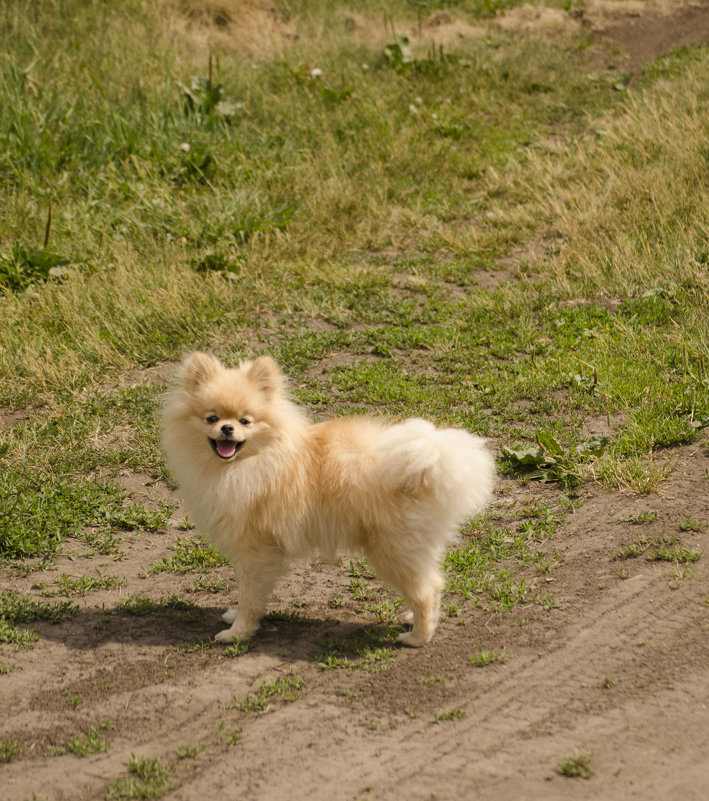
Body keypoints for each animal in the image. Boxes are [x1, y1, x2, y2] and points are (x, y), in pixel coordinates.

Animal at [161, 354, 496, 648]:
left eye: (245, 421)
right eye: (212, 418)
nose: (227, 428)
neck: (248, 463)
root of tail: (426, 465)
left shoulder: (253, 549)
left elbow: (249, 596)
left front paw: (238, 632)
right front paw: (235, 617)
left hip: (392, 549)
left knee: (425, 590)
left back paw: (418, 637)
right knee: (434, 583)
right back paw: (416, 620)